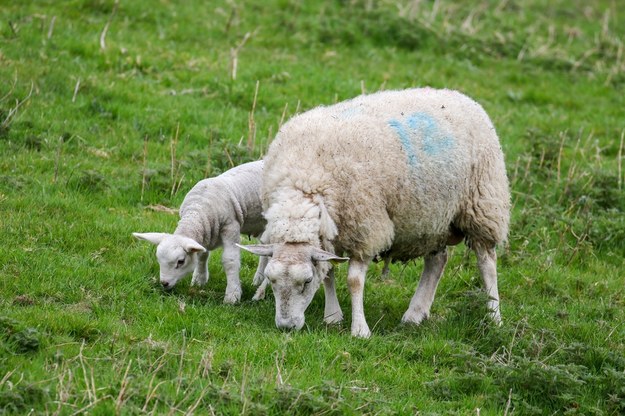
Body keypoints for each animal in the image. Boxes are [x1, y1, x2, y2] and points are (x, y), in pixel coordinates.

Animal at [133, 161, 266, 304]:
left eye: (181, 261)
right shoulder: (205, 233)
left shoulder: (230, 227)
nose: (164, 283)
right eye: (158, 259)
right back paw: (259, 280)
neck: (197, 209)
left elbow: (230, 261)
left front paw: (232, 295)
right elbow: (202, 255)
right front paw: (199, 280)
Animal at [241, 88, 510, 338]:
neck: (304, 186)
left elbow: (354, 281)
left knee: (486, 262)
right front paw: (332, 316)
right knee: (437, 261)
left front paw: (359, 329)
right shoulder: (330, 235)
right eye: (271, 279)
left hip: (483, 202)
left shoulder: (366, 229)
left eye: (306, 281)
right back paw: (415, 313)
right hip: (433, 219)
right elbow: (328, 273)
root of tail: (459, 96)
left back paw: (494, 317)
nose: (286, 326)